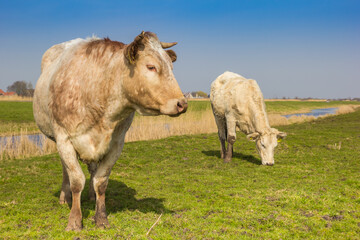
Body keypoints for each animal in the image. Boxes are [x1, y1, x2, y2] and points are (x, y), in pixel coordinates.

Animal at [33, 31, 188, 231]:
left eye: (171, 67)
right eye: (151, 67)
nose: (182, 103)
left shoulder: (116, 144)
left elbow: (101, 181)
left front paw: (101, 218)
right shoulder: (64, 139)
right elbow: (76, 180)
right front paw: (74, 220)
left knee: (92, 170)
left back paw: (91, 196)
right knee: (66, 170)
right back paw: (64, 197)